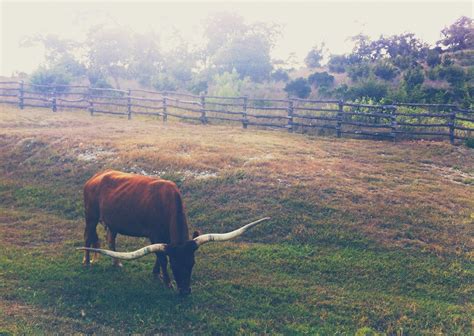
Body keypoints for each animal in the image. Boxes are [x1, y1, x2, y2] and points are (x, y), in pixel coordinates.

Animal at [79, 169, 268, 296]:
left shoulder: (164, 238)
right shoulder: (155, 235)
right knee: (88, 237)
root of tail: (95, 177)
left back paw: (116, 263)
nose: (185, 292)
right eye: (175, 265)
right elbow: (162, 257)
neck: (166, 203)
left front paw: (156, 274)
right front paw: (167, 281)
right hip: (91, 216)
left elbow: (159, 256)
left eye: (192, 263)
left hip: (113, 223)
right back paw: (87, 262)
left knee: (111, 239)